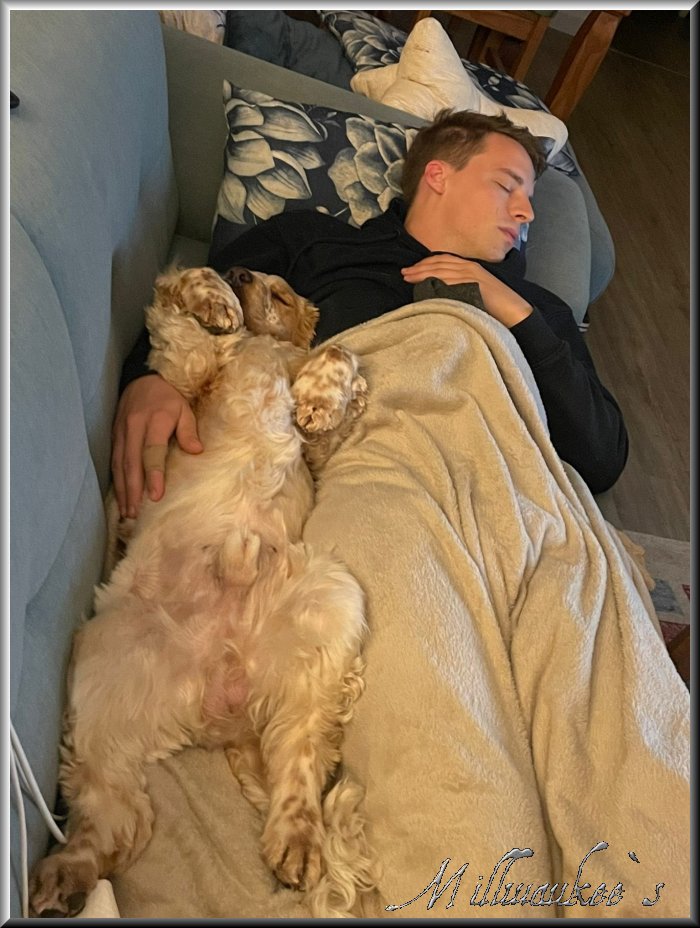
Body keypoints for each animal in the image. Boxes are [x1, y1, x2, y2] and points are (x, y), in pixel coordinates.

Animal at [29, 266, 375, 917]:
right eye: (251, 275)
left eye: (281, 292)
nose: (242, 276)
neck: (263, 350)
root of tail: (222, 712)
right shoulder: (185, 370)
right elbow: (183, 295)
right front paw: (217, 301)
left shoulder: (315, 450)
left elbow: (338, 356)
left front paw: (322, 396)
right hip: (102, 675)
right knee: (117, 817)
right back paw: (65, 875)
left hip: (330, 598)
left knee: (298, 760)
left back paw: (296, 839)